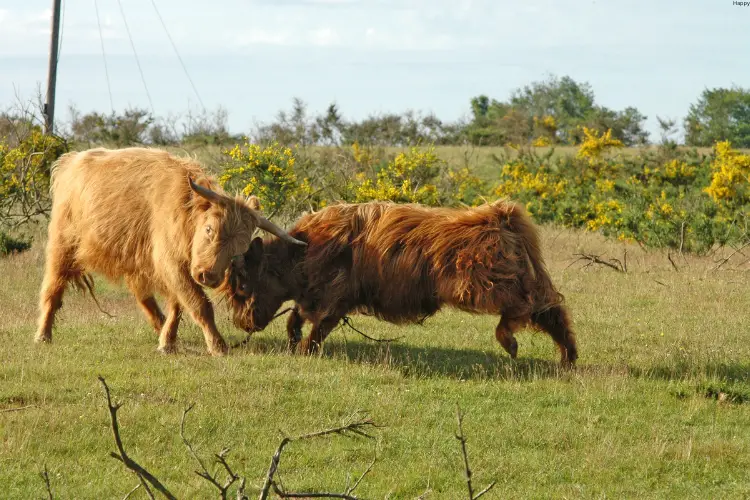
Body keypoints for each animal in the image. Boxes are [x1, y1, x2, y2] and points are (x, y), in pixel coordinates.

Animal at [35, 147, 306, 356]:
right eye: (209, 229)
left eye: (238, 250)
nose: (208, 276)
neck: (186, 212)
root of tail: (72, 160)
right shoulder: (171, 263)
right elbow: (199, 304)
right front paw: (218, 346)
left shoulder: (176, 268)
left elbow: (179, 304)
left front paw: (168, 342)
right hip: (62, 245)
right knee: (52, 289)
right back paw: (43, 335)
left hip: (134, 258)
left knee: (144, 296)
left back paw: (160, 327)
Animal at [226, 200, 580, 368]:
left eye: (242, 287)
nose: (241, 323)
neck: (301, 252)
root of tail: (500, 215)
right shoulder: (316, 295)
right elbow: (295, 316)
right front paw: (294, 340)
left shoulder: (334, 295)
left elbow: (317, 325)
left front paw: (305, 350)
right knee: (552, 310)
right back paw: (568, 359)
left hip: (483, 285)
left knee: (527, 307)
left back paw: (510, 341)